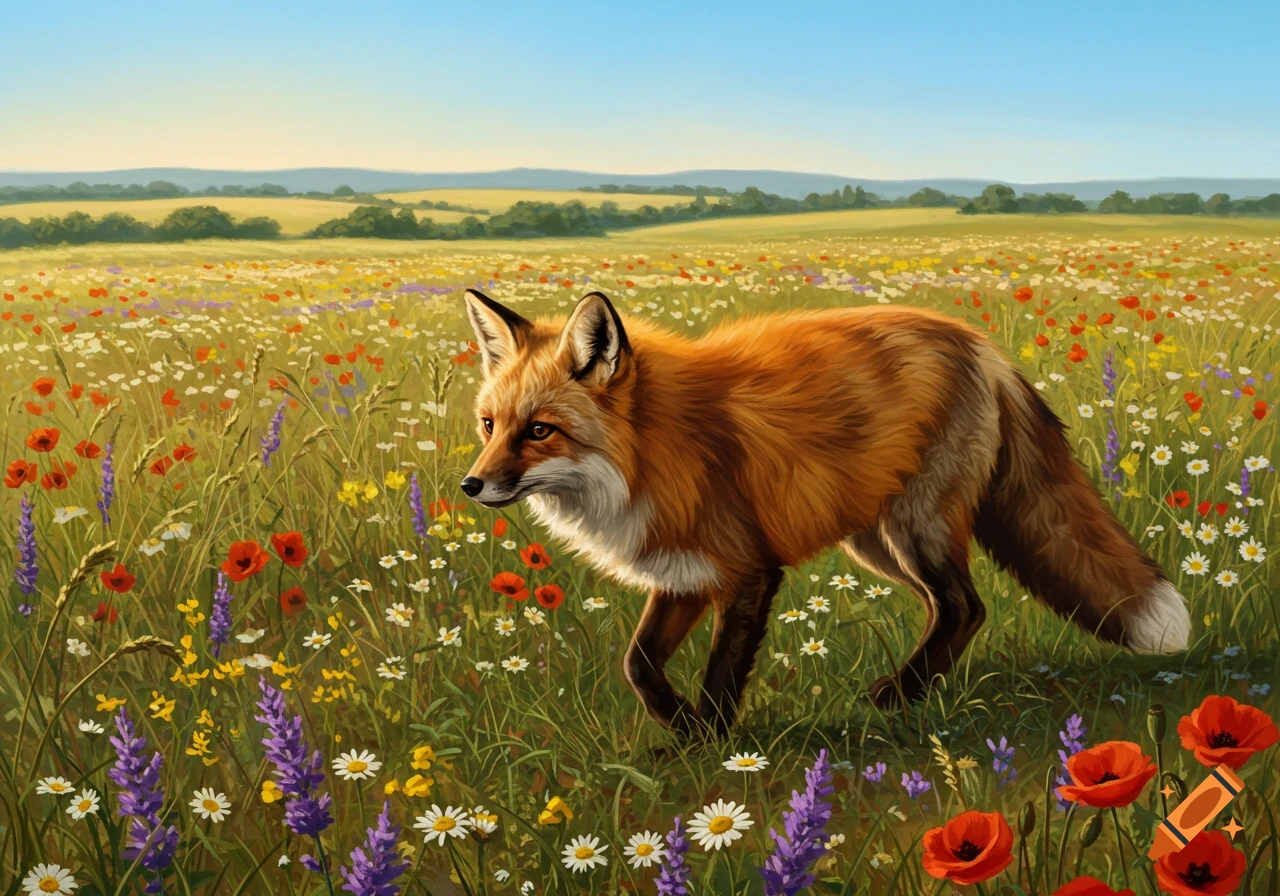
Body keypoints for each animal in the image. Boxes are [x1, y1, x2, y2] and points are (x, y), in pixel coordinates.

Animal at [460, 288, 1191, 737]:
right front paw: (681, 726)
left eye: (540, 431)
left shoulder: (748, 570)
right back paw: (914, 688)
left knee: (966, 605)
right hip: (876, 543)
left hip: (915, 528)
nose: (471, 484)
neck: (652, 450)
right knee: (952, 606)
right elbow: (637, 666)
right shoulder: (683, 571)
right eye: (490, 424)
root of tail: (980, 344)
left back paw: (901, 694)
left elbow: (721, 674)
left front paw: (710, 744)